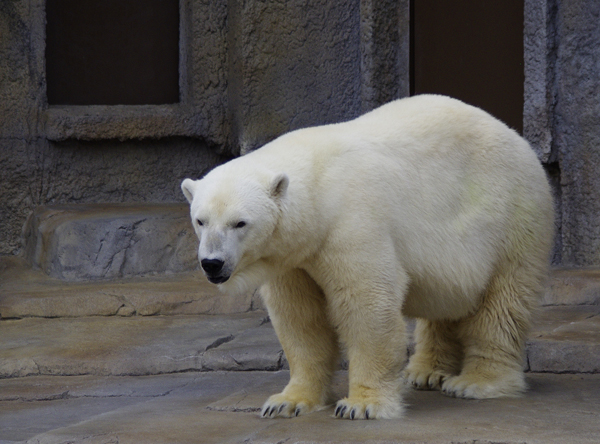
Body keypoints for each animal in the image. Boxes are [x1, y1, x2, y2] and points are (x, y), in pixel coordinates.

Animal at [182, 94, 552, 420]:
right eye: (201, 220)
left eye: (240, 222)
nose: (212, 263)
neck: (319, 190)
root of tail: (515, 136)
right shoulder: (293, 258)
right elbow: (299, 318)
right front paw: (287, 402)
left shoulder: (352, 223)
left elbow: (366, 306)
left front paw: (361, 406)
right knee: (446, 299)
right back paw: (425, 371)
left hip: (511, 217)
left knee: (502, 303)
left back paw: (476, 382)